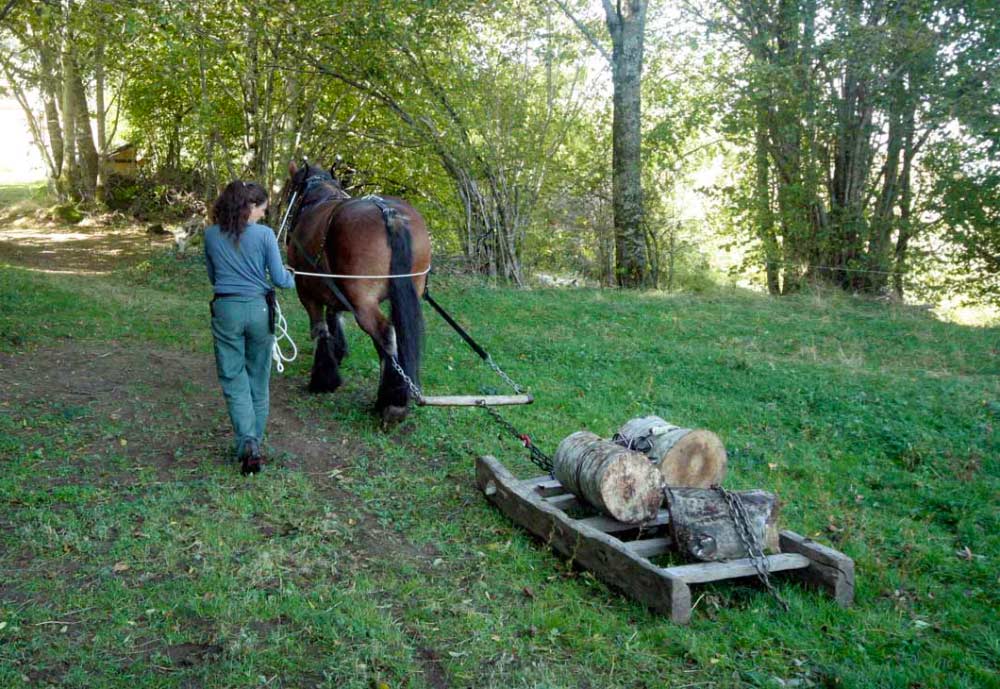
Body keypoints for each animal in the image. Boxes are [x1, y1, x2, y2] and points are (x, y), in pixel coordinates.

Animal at [281, 161, 431, 423]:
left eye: (291, 189)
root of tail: (389, 213)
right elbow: (334, 317)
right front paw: (338, 352)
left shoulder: (306, 290)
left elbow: (320, 328)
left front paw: (323, 378)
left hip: (363, 301)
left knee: (385, 335)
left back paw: (391, 402)